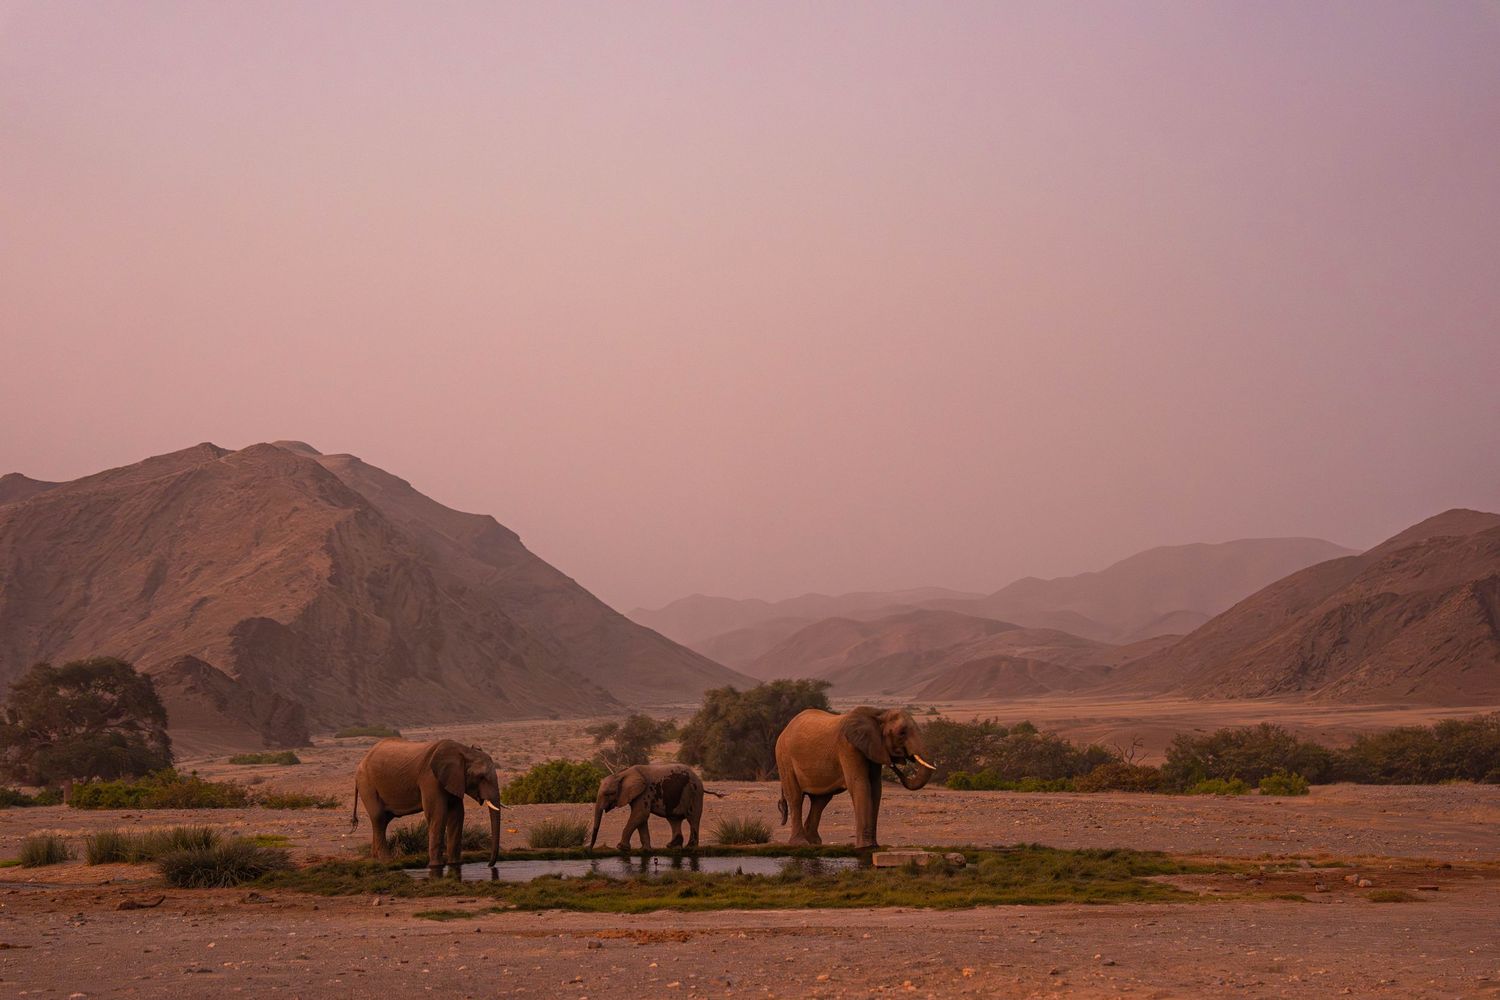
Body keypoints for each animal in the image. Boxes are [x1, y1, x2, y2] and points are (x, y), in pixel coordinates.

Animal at [352, 738, 502, 870]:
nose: (489, 865)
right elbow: (438, 814)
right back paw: (387, 861)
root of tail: (362, 761)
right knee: (378, 817)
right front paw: (436, 866)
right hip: (367, 784)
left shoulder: (454, 780)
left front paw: (455, 864)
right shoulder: (430, 778)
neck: (463, 751)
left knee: (384, 820)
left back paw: (375, 859)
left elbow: (457, 814)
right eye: (481, 777)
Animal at [588, 763, 721, 851]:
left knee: (692, 818)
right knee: (674, 819)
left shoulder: (645, 792)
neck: (622, 773)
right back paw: (672, 846)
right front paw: (645, 849)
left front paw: (621, 847)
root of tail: (699, 780)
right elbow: (641, 818)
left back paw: (690, 847)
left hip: (694, 793)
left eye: (608, 794)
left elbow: (640, 814)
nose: (589, 848)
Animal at [775, 707, 936, 850]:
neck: (879, 713)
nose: (894, 764)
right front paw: (865, 847)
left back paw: (814, 842)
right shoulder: (848, 747)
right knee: (796, 798)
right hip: (784, 757)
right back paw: (800, 843)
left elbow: (876, 789)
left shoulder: (873, 747)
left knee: (820, 801)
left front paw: (874, 846)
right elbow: (860, 784)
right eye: (902, 733)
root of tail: (786, 728)